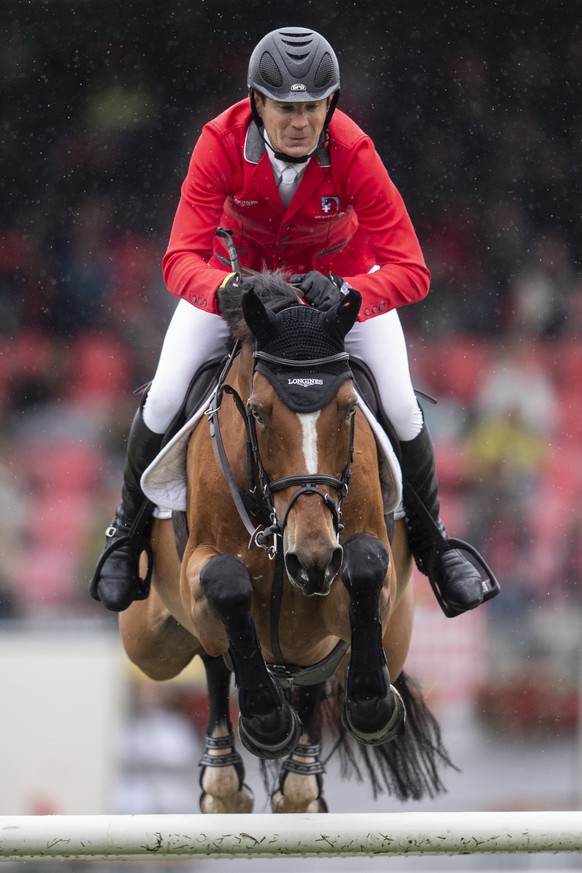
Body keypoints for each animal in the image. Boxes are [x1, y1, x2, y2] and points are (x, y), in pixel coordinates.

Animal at [121, 270, 454, 812]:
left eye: (349, 410)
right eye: (256, 412)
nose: (311, 559)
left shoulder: (361, 583)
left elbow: (364, 566)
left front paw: (372, 706)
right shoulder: (200, 570)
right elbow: (226, 583)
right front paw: (267, 722)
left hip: (395, 637)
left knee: (313, 672)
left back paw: (300, 782)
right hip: (147, 643)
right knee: (213, 656)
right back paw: (223, 778)